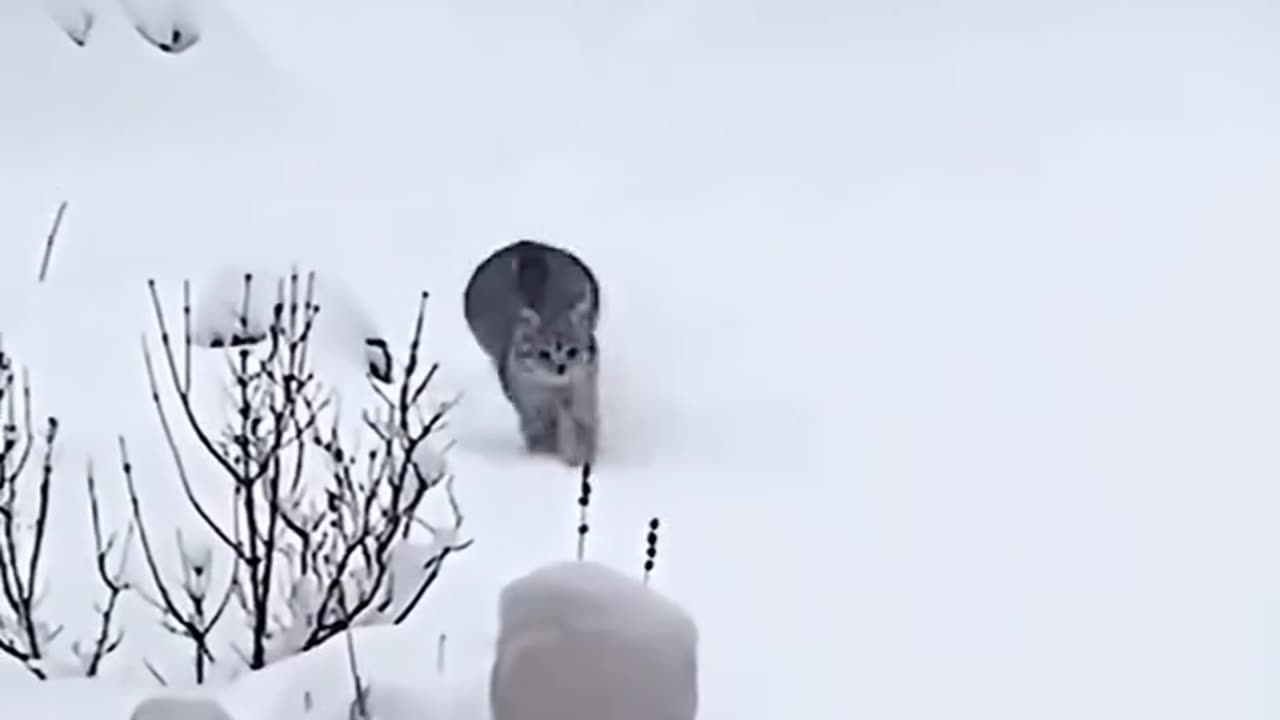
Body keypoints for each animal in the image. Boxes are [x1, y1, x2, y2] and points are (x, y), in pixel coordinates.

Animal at [463, 239, 601, 466]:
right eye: (544, 354)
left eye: (572, 351)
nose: (561, 368)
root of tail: (524, 244)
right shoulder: (531, 405)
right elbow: (541, 432)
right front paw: (547, 459)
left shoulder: (583, 390)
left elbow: (580, 425)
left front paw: (578, 458)